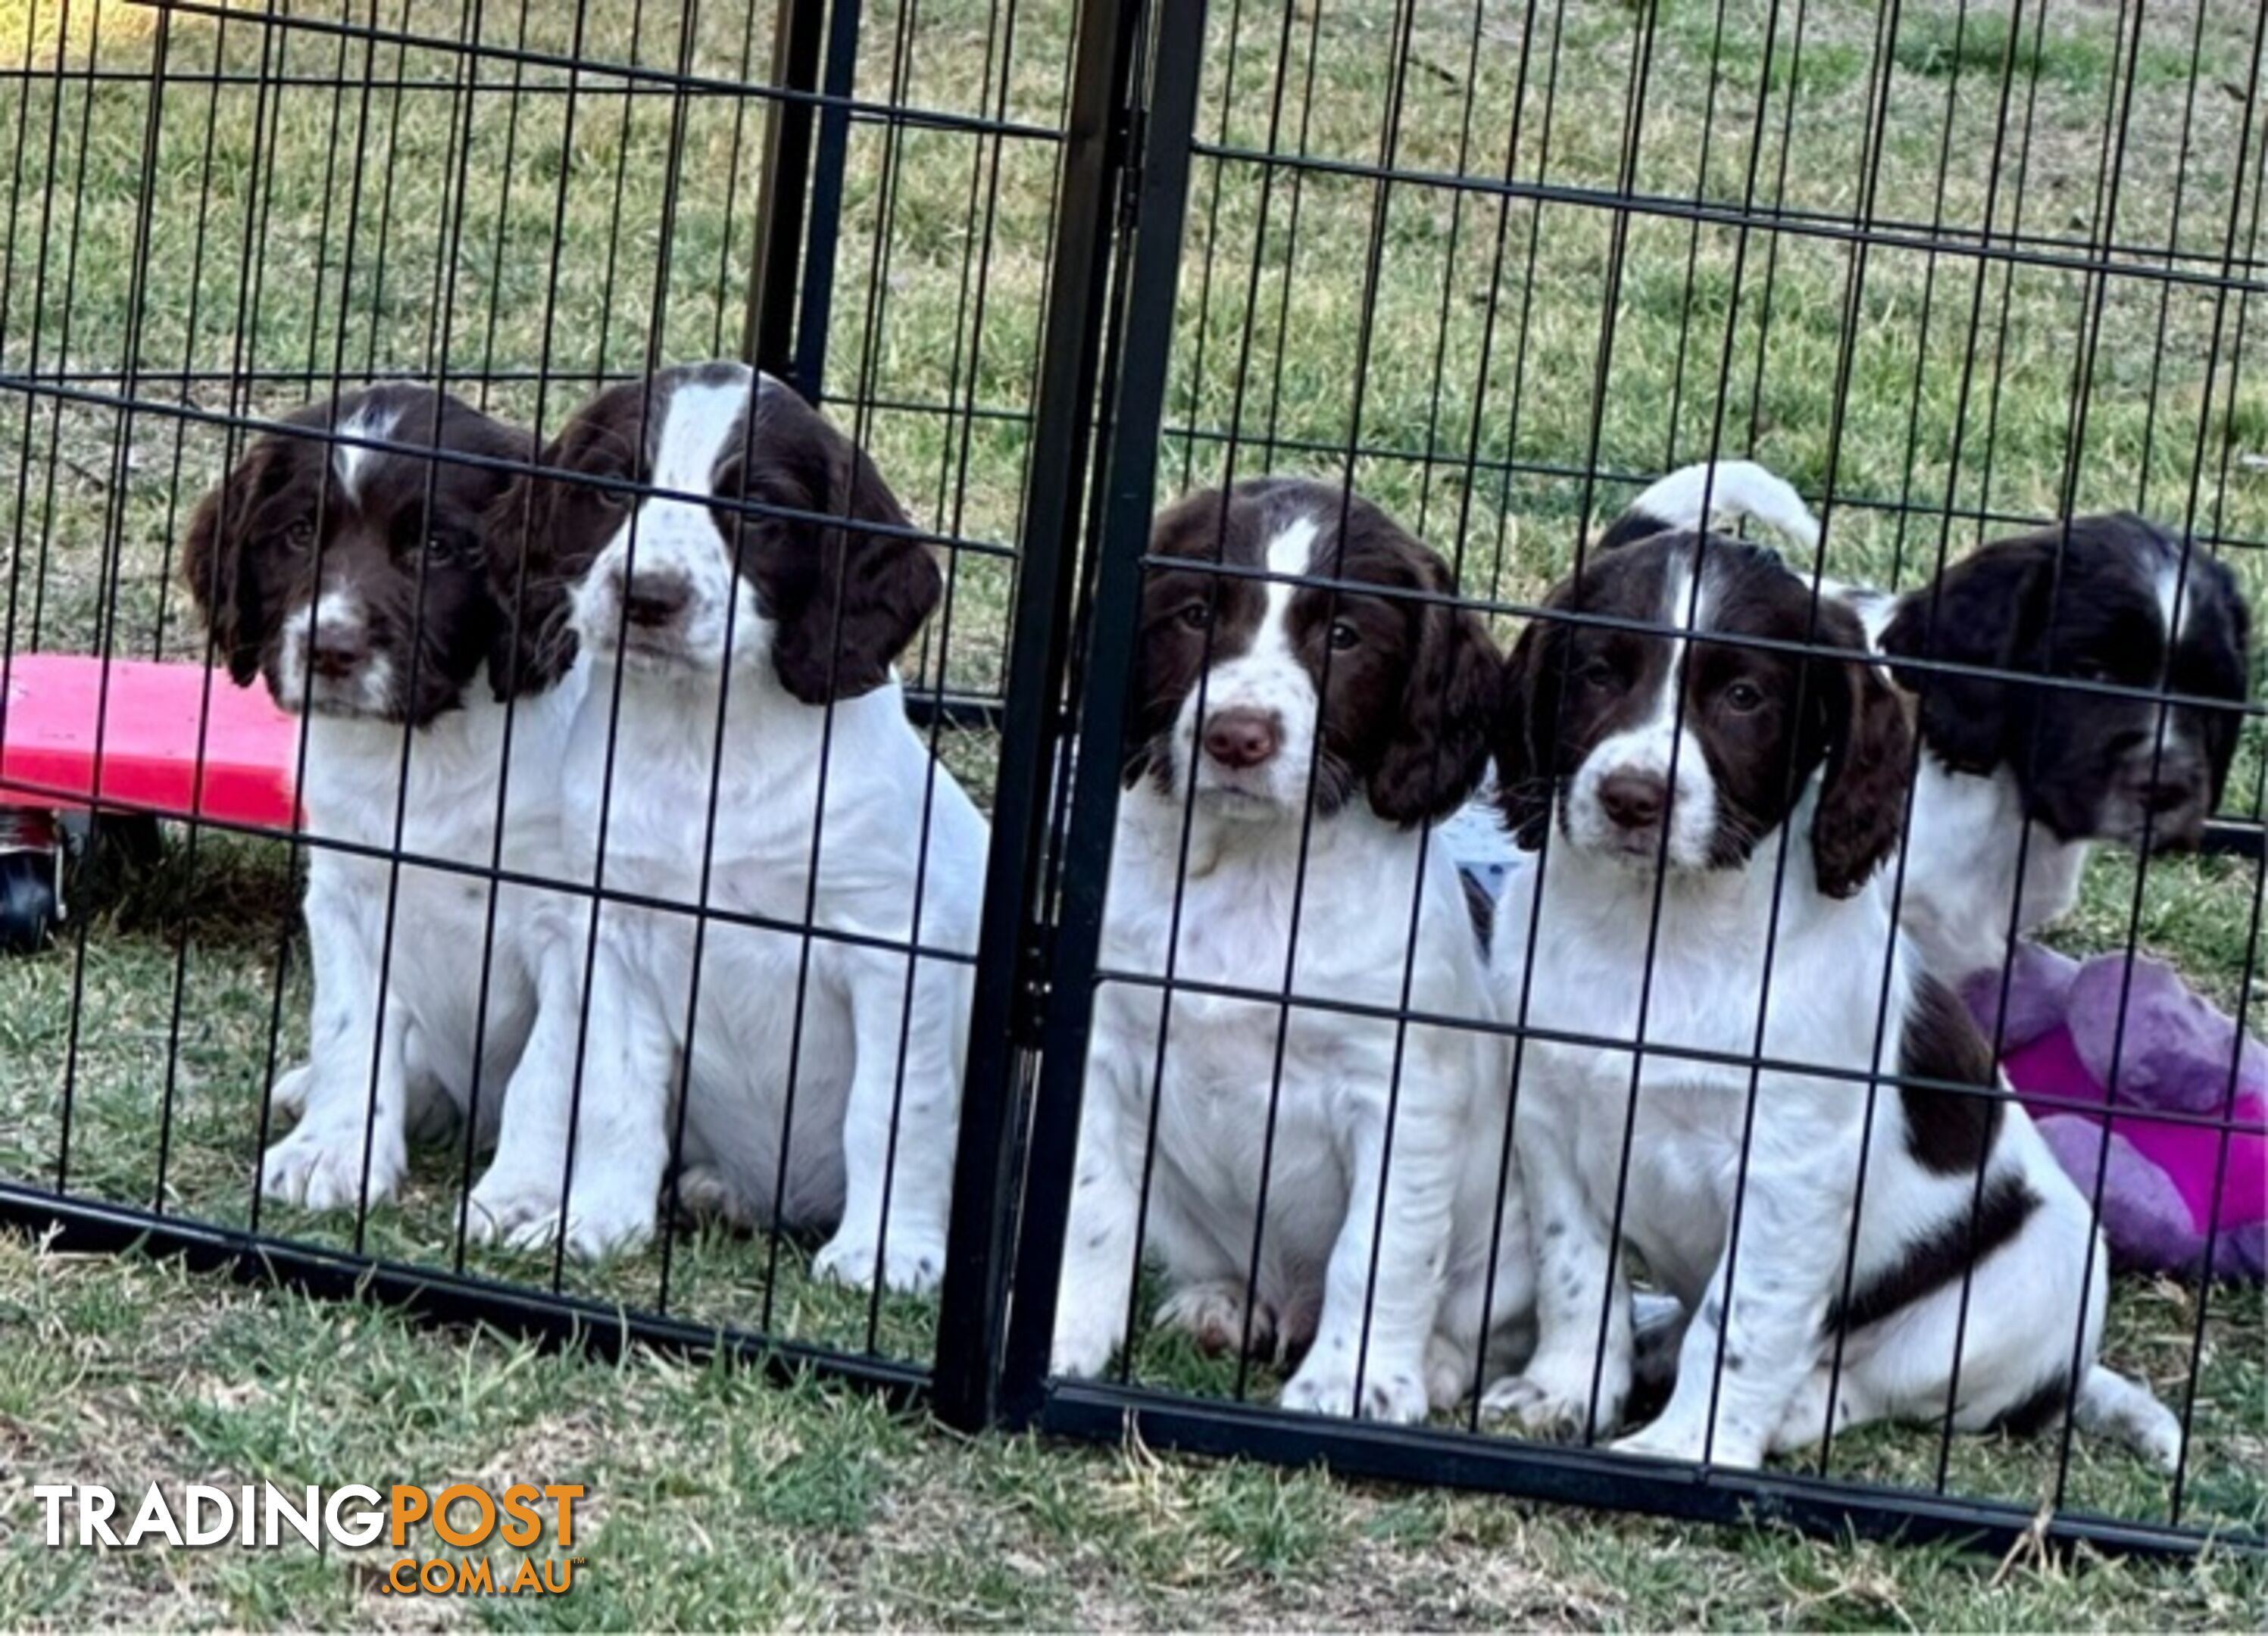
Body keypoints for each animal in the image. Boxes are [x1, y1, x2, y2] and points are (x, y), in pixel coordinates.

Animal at [181, 386, 594, 1225]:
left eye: (438, 549)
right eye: (300, 534)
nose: (330, 649)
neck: (426, 750)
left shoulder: (575, 926)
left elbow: (549, 1068)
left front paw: (525, 1195)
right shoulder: (349, 890)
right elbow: (351, 1028)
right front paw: (331, 1152)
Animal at [483, 358, 989, 1288]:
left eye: (757, 510)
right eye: (611, 487)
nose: (648, 597)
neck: (704, 747)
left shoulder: (894, 951)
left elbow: (892, 1113)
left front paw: (882, 1252)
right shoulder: (613, 936)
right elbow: (612, 1095)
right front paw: (593, 1223)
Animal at [1052, 479, 1532, 1425]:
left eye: (1344, 636)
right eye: (1196, 614)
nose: (1238, 737)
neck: (1253, 868)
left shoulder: (1400, 1094)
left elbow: (1376, 1254)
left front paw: (1353, 1385)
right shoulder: (1104, 1049)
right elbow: (1088, 1209)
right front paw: (1066, 1339)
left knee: (1475, 1323)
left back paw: (1437, 1364)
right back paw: (1218, 1304)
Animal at [1479, 526, 2186, 1470]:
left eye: (1744, 697)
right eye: (1597, 673)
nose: (1632, 799)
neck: (1660, 933)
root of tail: (2068, 1376)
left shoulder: (1789, 1172)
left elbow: (1739, 1325)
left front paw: (1685, 1448)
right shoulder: (1553, 1121)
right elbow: (1578, 1276)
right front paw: (1563, 1394)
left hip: (2005, 1298)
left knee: (1873, 1385)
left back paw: (1791, 1406)